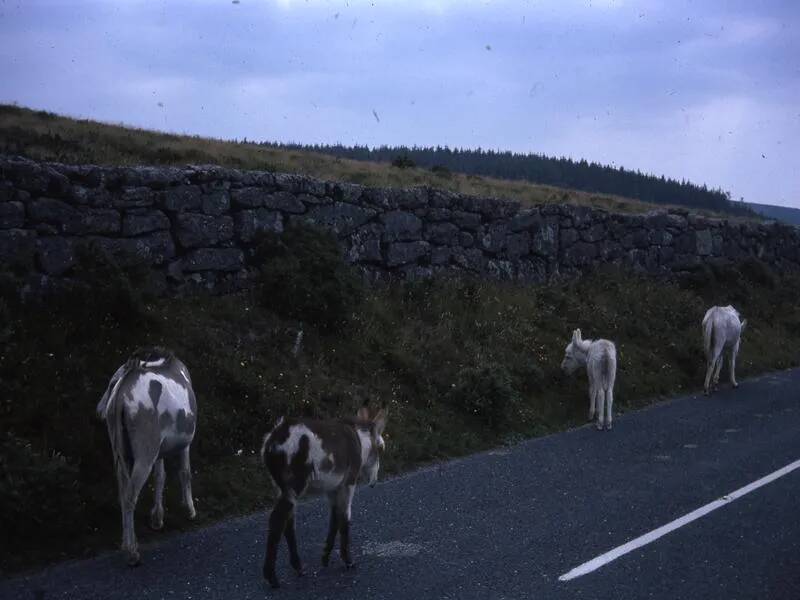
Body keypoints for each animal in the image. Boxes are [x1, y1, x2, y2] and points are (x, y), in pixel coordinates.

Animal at [97, 350, 198, 564]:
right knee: (130, 496)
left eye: (111, 383)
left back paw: (125, 543)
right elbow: (185, 472)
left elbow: (160, 477)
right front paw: (190, 510)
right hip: (144, 452)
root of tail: (123, 391)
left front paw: (157, 519)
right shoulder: (186, 441)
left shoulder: (158, 448)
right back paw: (132, 552)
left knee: (123, 492)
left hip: (121, 451)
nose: (98, 411)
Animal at [260, 406, 390, 588]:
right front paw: (348, 560)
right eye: (381, 448)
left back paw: (298, 567)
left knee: (288, 523)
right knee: (277, 521)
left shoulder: (332, 488)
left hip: (280, 487)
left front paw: (326, 557)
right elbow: (345, 520)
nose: (373, 482)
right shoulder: (348, 483)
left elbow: (334, 520)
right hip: (294, 485)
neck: (360, 441)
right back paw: (271, 577)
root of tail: (273, 440)